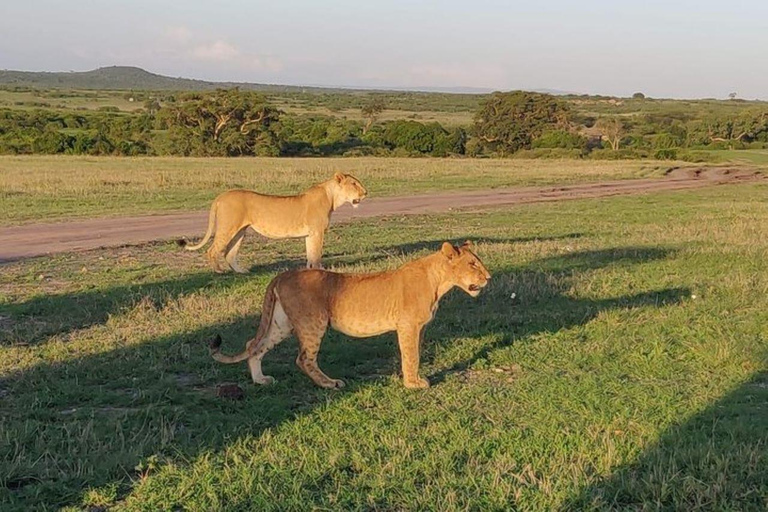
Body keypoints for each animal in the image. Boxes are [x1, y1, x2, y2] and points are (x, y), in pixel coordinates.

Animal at [183, 173, 368, 272]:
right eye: (354, 183)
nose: (366, 192)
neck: (332, 197)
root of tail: (221, 196)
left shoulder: (310, 234)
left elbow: (310, 253)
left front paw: (309, 271)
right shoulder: (317, 231)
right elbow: (316, 254)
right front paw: (320, 270)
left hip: (240, 231)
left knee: (229, 253)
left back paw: (241, 271)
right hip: (228, 227)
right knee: (212, 250)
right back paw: (218, 271)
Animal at [208, 240, 492, 388]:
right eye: (472, 264)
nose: (488, 277)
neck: (438, 281)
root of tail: (283, 274)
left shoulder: (419, 328)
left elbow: (416, 354)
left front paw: (415, 378)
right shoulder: (408, 325)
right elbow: (410, 355)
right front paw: (413, 384)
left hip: (281, 324)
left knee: (253, 345)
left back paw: (261, 380)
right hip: (313, 323)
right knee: (303, 359)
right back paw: (330, 383)